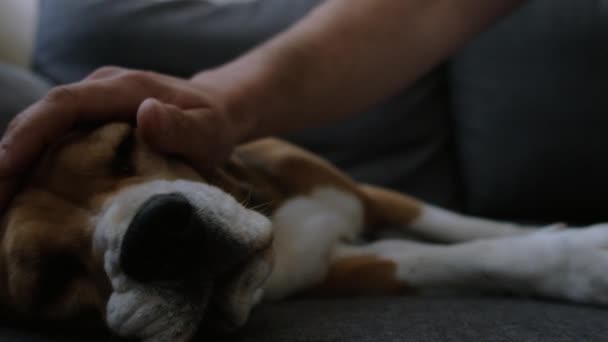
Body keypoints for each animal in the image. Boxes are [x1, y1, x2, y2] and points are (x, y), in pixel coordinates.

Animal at [1, 124, 608, 340]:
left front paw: (536, 226)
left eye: (124, 148)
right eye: (51, 279)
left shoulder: (369, 195)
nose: (156, 232)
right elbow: (449, 257)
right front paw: (579, 258)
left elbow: (450, 221)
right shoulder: (340, 269)